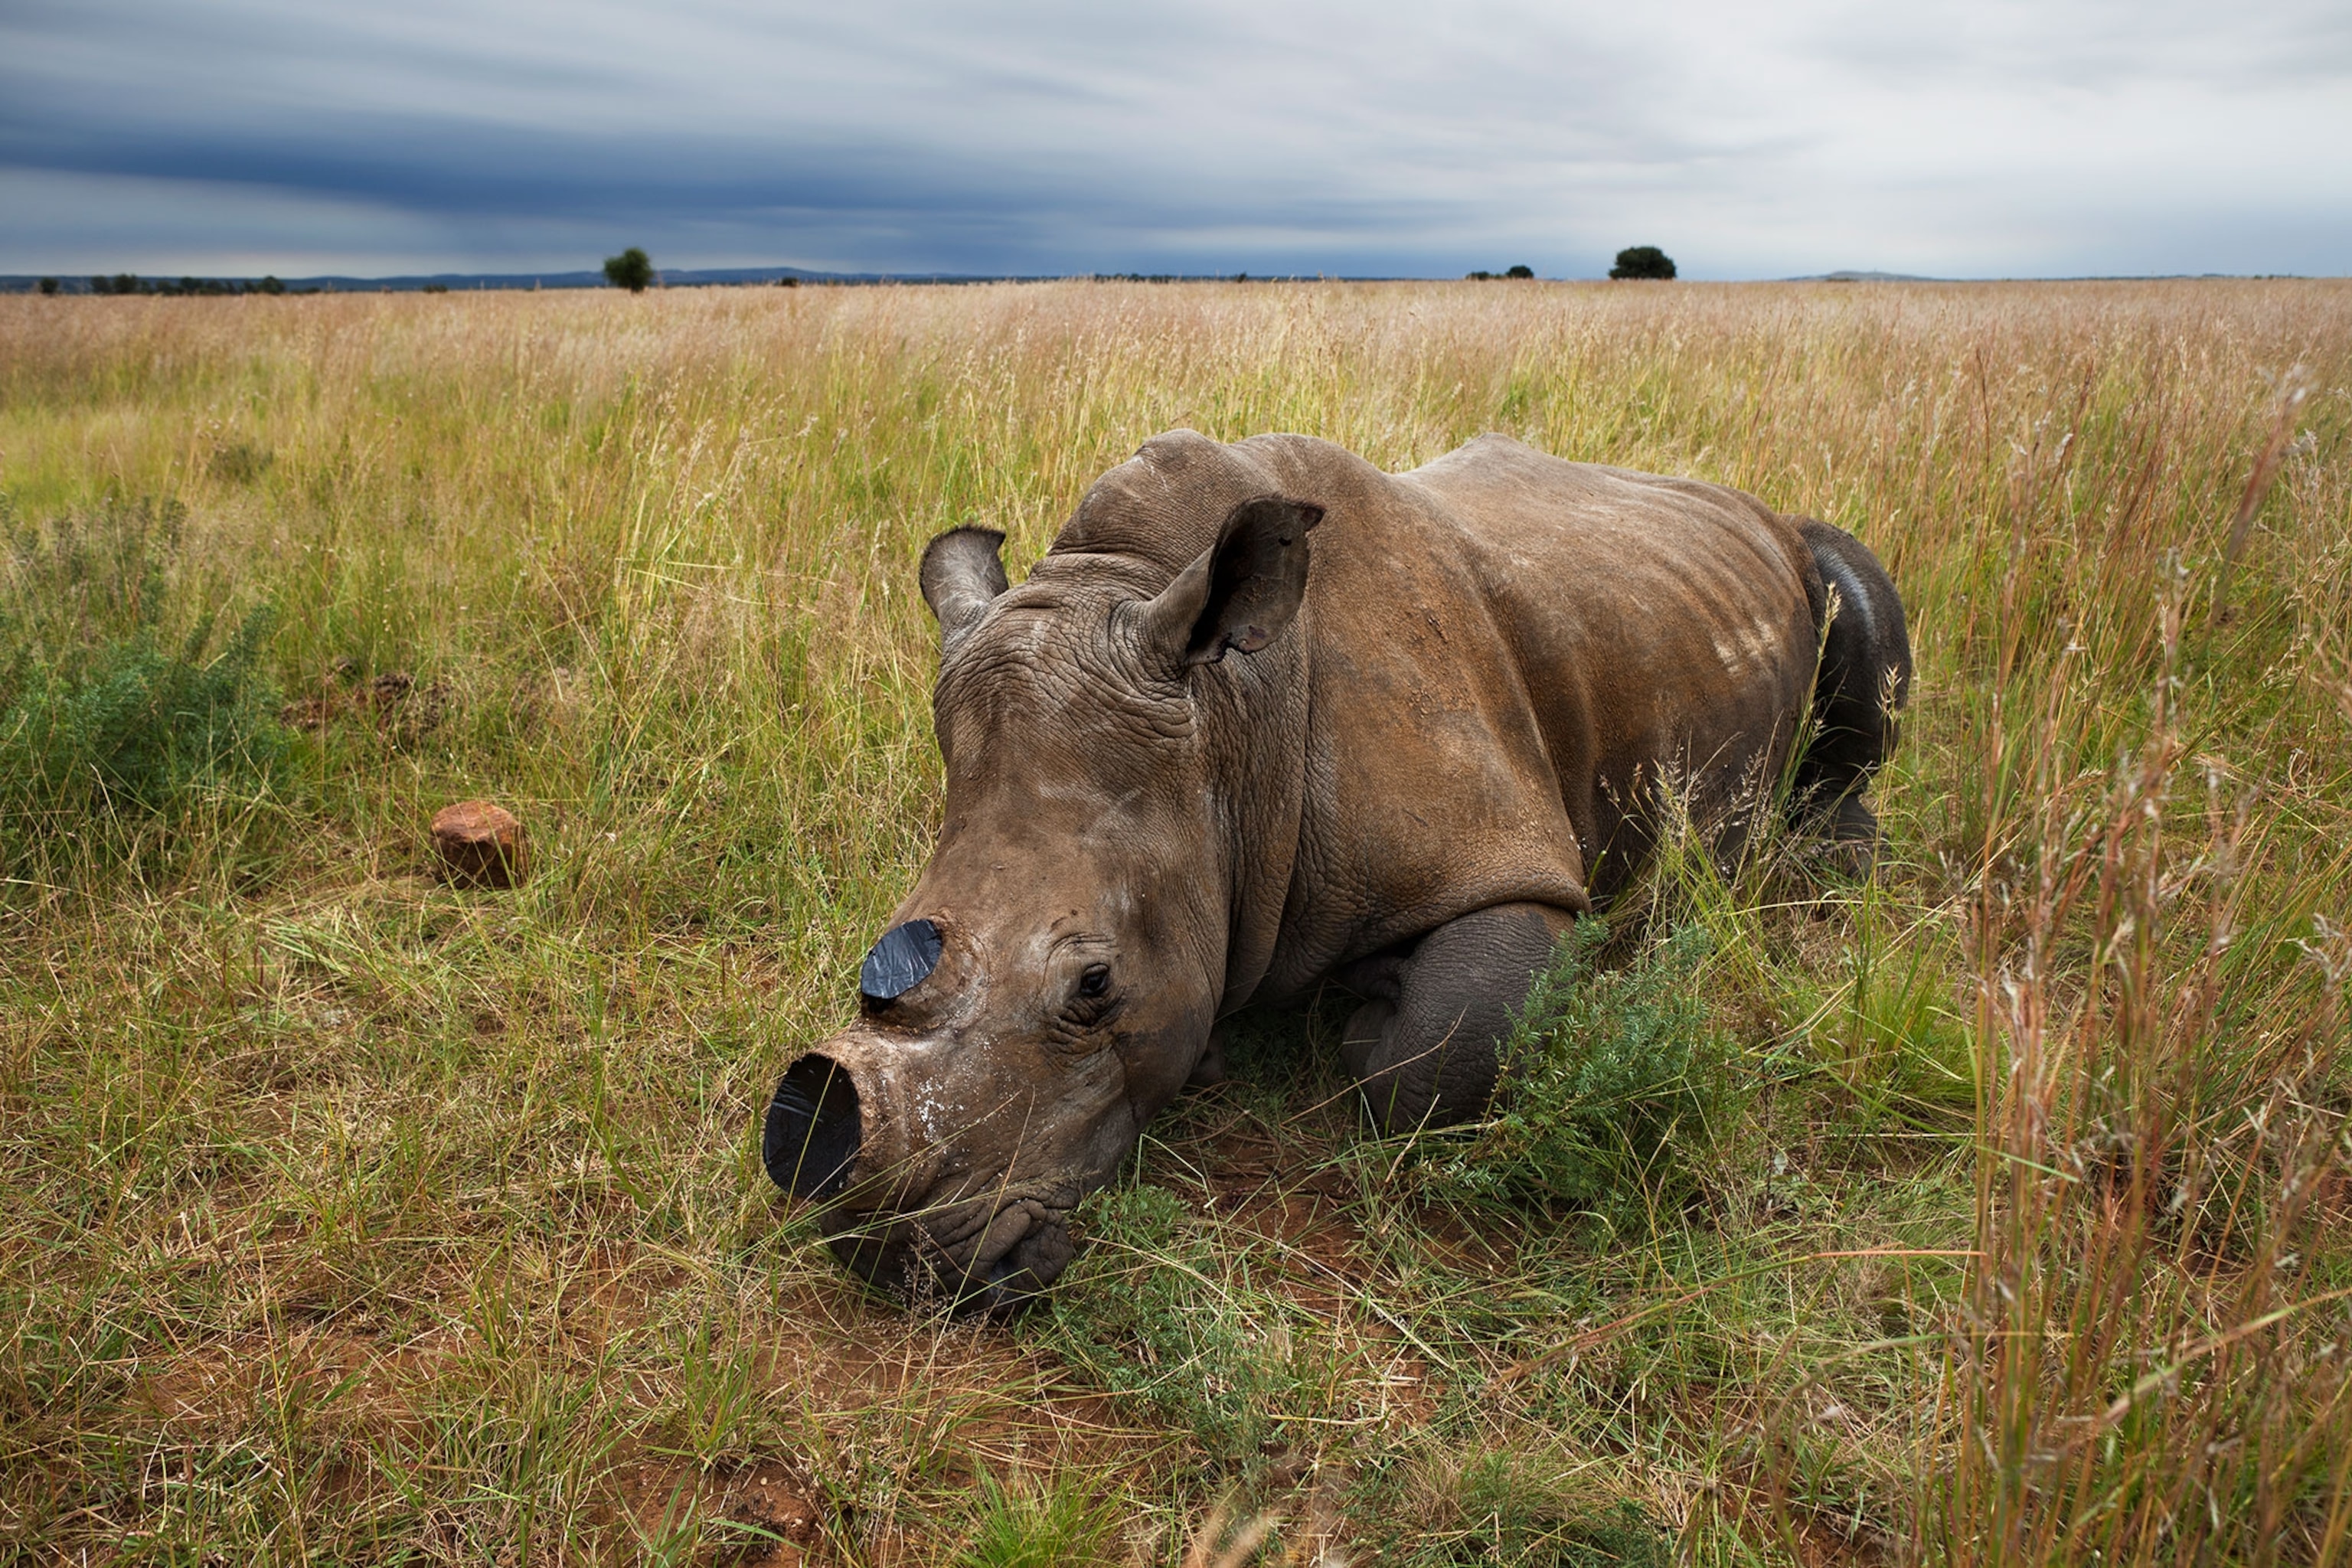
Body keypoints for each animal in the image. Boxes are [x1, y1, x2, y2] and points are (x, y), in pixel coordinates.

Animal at [764, 430, 1910, 1310]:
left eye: (1094, 987)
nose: (880, 1247)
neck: (1233, 729)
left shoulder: (1509, 867)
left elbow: (1440, 1047)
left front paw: (1359, 1018)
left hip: (1798, 553)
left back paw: (1825, 858)